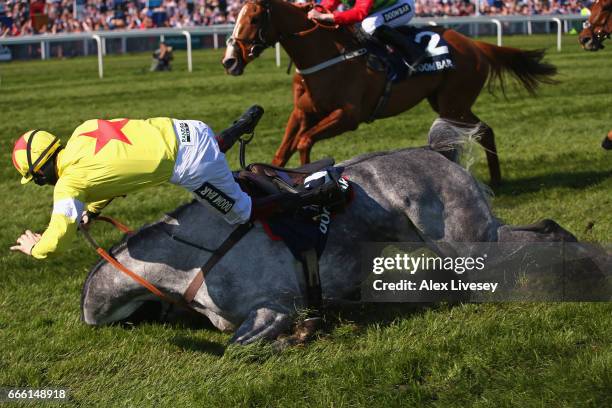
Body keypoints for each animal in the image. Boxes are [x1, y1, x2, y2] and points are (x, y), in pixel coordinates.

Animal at [80, 121, 580, 344]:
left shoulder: (274, 307)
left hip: (467, 243)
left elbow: (244, 347)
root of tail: (439, 153)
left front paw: (302, 333)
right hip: (470, 240)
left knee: (538, 239)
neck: (196, 260)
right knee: (538, 229)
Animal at [222, 0, 556, 183]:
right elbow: (282, 153)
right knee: (483, 130)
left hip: (454, 102)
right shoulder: (302, 112)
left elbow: (304, 141)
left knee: (481, 130)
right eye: (235, 18)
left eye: (253, 18)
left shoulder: (348, 115)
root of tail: (475, 44)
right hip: (447, 103)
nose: (230, 61)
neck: (323, 54)